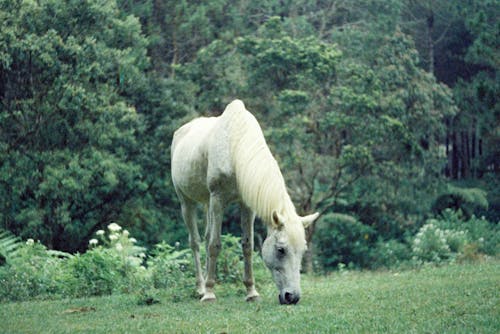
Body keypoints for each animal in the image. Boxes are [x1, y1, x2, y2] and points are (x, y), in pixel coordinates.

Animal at [172, 100, 318, 306]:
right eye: (281, 250)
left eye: (303, 250)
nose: (292, 297)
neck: (235, 147)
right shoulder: (218, 199)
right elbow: (215, 245)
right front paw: (209, 294)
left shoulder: (246, 206)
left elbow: (247, 245)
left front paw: (251, 292)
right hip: (187, 202)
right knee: (195, 242)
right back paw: (201, 288)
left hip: (207, 204)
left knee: (206, 237)